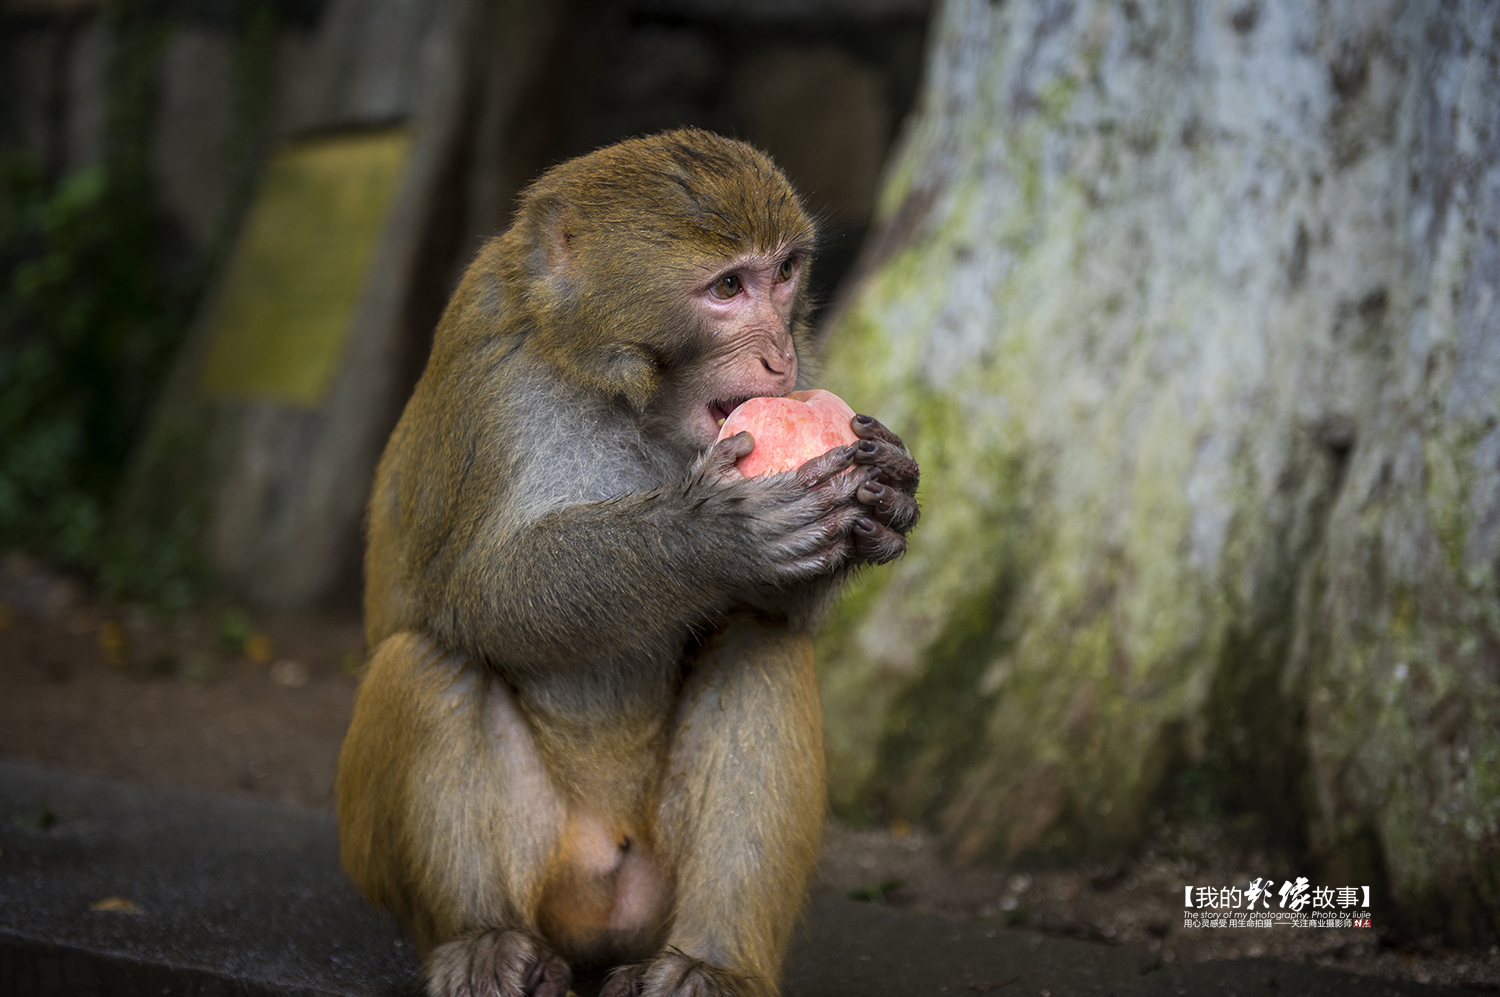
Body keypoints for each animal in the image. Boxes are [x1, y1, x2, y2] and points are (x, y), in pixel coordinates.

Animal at [337, 130, 912, 995]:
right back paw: (481, 937)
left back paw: (708, 963)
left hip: (654, 891)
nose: (781, 359)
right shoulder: (490, 373)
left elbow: (771, 611)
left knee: (761, 648)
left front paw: (886, 496)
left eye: (784, 272)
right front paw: (711, 534)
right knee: (429, 661)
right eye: (728, 286)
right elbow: (480, 593)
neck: (624, 394)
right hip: (512, 866)